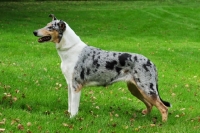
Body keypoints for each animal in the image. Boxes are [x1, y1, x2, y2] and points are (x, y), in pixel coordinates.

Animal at [33, 14, 170, 121]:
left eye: (50, 27)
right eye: (46, 25)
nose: (34, 32)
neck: (69, 50)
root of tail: (151, 62)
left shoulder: (76, 86)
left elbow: (74, 107)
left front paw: (72, 119)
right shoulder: (70, 84)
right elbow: (69, 104)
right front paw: (68, 117)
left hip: (146, 88)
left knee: (163, 107)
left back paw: (162, 124)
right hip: (135, 88)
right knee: (150, 104)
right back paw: (145, 116)